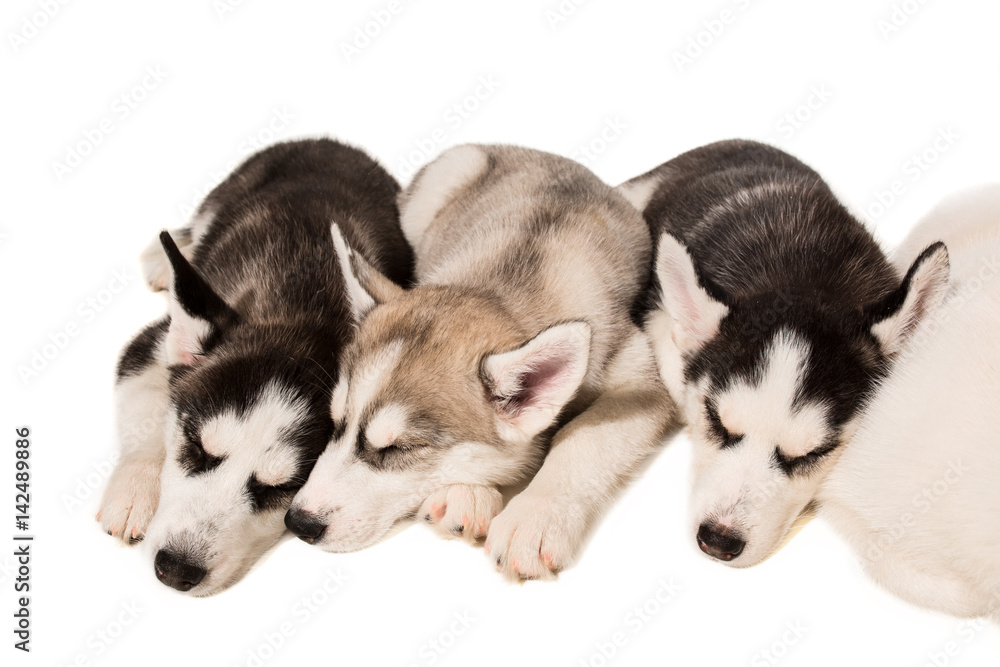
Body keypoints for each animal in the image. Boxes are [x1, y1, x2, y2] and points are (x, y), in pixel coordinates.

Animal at [96, 140, 414, 596]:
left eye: (280, 489)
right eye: (197, 449)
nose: (175, 569)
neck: (305, 313)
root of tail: (328, 141)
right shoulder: (149, 346)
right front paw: (135, 488)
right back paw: (163, 255)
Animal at [286, 145, 676, 580]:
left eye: (399, 448)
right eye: (335, 422)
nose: (297, 523)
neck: (498, 291)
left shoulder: (640, 380)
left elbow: (584, 437)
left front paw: (534, 517)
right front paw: (465, 495)